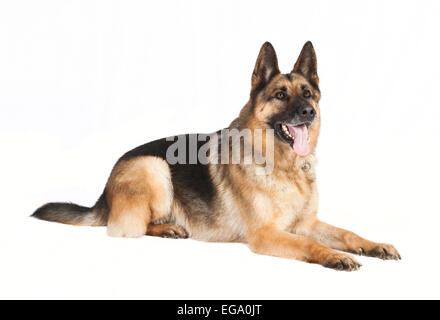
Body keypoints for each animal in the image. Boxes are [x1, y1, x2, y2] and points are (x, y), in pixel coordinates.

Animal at [32, 42, 400, 270]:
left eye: (308, 94)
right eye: (281, 95)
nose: (308, 112)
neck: (283, 166)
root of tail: (105, 190)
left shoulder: (307, 224)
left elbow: (348, 233)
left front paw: (374, 245)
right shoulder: (266, 235)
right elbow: (310, 246)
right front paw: (334, 257)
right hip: (154, 168)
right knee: (125, 228)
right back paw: (169, 228)